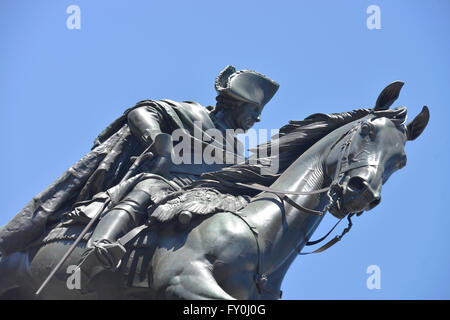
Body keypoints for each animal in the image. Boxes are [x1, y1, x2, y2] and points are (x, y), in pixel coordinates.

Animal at [0, 84, 428, 298]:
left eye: (401, 160)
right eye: (368, 131)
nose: (360, 192)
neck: (259, 231)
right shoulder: (184, 280)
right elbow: (152, 109)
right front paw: (160, 145)